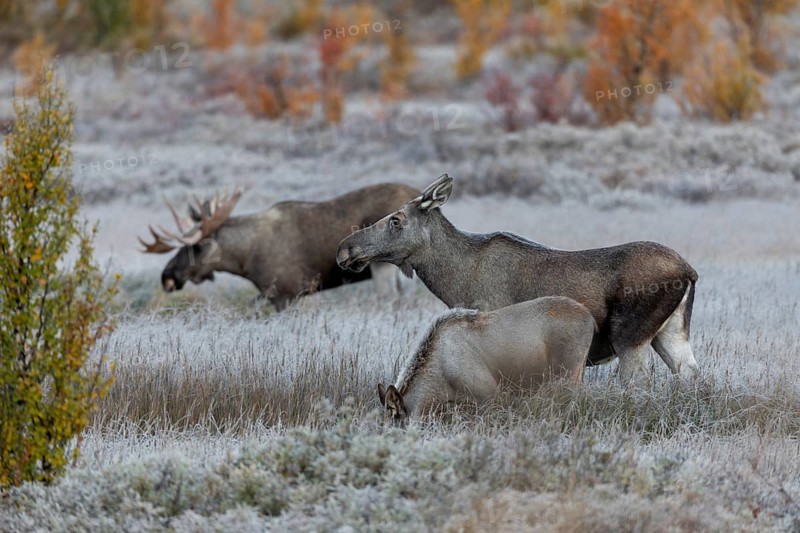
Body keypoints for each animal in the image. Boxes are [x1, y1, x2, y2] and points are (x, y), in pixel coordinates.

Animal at [338, 174, 700, 382]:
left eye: (396, 220)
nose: (345, 249)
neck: (455, 276)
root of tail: (689, 271)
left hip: (629, 336)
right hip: (671, 331)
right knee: (690, 373)